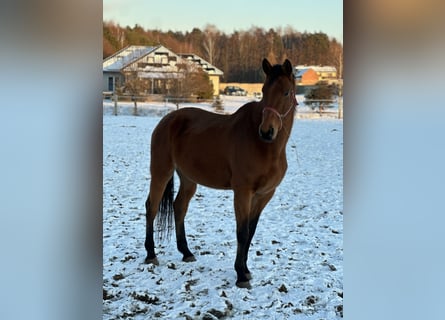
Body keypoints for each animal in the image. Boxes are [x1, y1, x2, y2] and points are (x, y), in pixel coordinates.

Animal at [144, 58, 296, 288]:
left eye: (286, 92)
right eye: (263, 91)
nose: (266, 131)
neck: (265, 147)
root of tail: (167, 120)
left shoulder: (264, 195)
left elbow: (251, 232)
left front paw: (246, 270)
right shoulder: (242, 192)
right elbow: (242, 232)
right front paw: (240, 275)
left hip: (188, 179)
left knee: (179, 207)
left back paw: (186, 252)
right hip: (161, 172)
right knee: (151, 208)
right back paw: (151, 255)